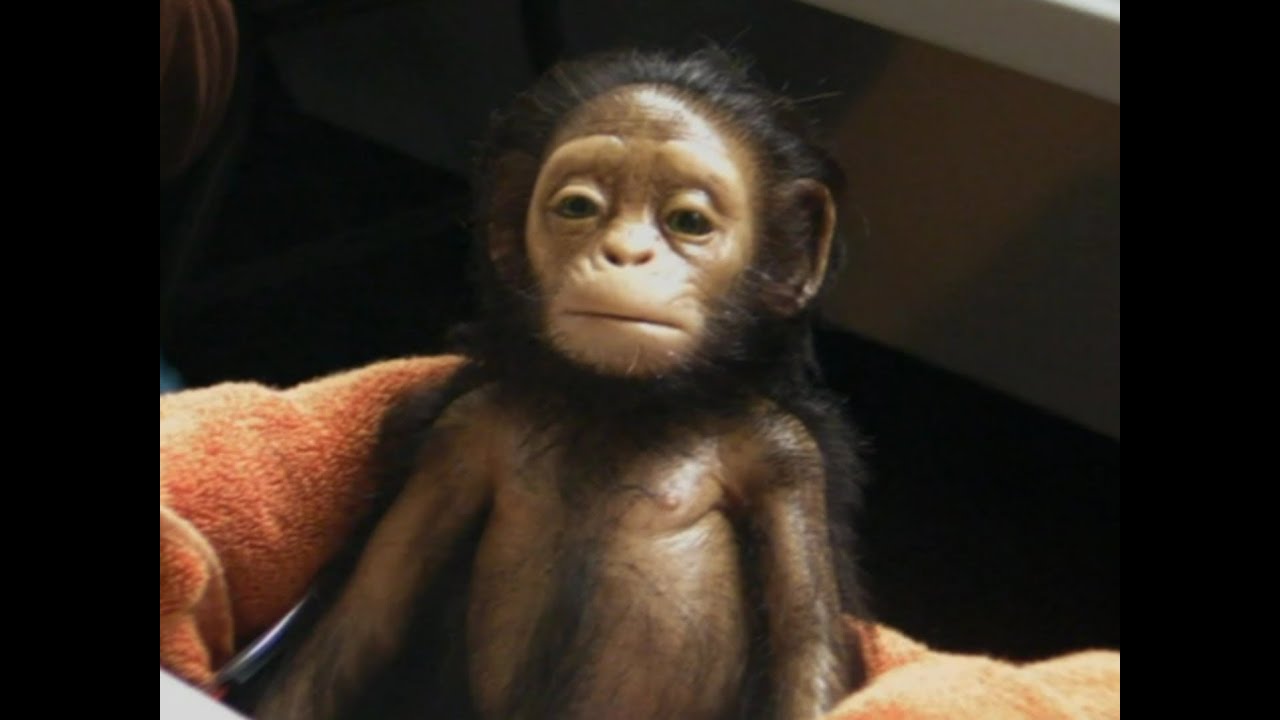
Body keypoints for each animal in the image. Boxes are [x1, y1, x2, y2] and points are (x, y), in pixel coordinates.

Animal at [247, 47, 870, 720]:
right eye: (578, 207)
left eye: (688, 221)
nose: (625, 252)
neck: (620, 405)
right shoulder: (462, 430)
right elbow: (362, 624)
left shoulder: (786, 455)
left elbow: (806, 649)